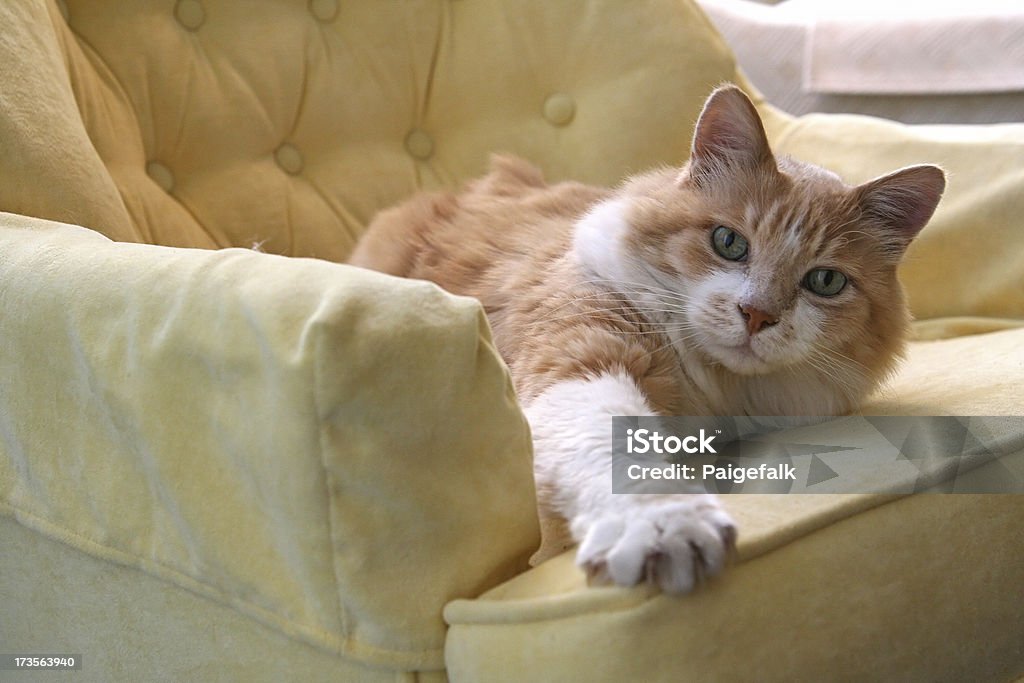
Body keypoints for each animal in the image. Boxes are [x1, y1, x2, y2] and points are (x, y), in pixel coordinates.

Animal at [350, 85, 942, 593]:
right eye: (729, 242)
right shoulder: (584, 353)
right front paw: (665, 527)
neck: (714, 389)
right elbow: (618, 444)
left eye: (825, 281)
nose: (756, 315)